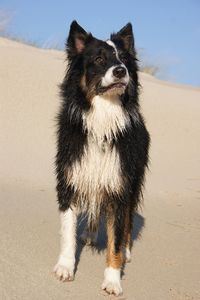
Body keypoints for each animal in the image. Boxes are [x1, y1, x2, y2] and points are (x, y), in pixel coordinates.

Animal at [54, 20, 149, 296]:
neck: (103, 118)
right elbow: (67, 231)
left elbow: (115, 239)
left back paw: (126, 250)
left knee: (127, 222)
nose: (120, 71)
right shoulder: (70, 178)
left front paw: (113, 281)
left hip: (133, 182)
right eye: (98, 59)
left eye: (124, 60)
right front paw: (65, 267)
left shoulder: (119, 187)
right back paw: (89, 234)